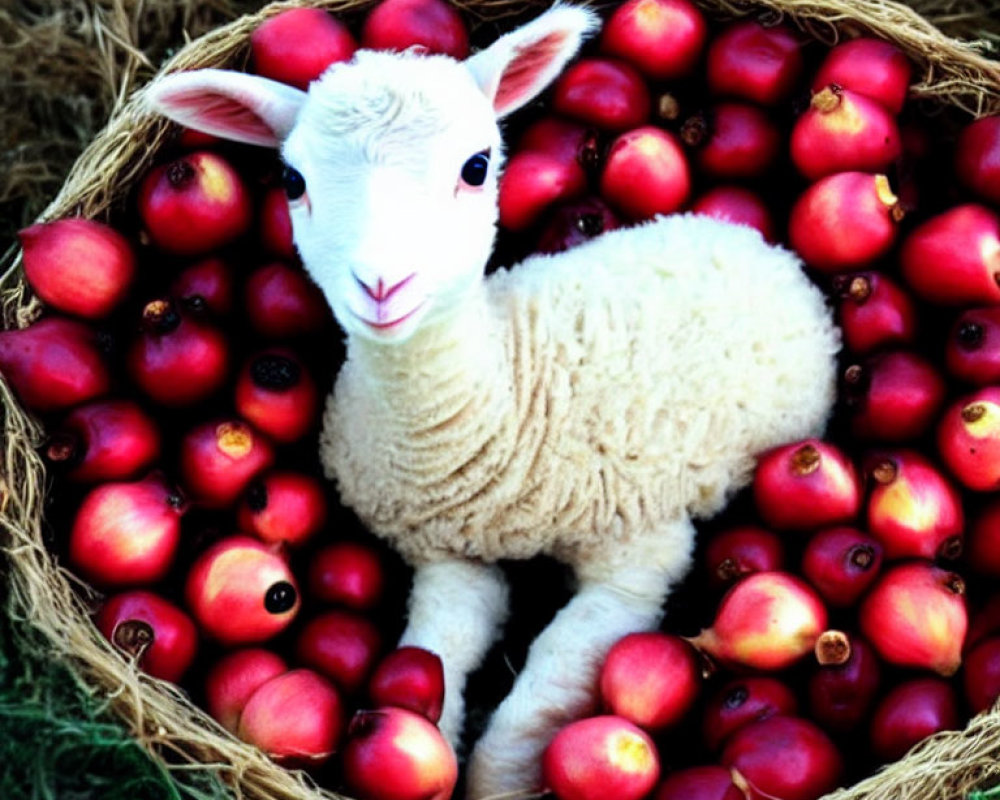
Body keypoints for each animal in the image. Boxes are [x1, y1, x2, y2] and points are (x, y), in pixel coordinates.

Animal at [146, 7, 836, 800]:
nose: (382, 286)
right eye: (292, 180)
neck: (495, 399)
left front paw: (502, 780)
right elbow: (437, 649)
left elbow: (544, 690)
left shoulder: (638, 560)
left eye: (476, 167)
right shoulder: (446, 554)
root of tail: (748, 239)